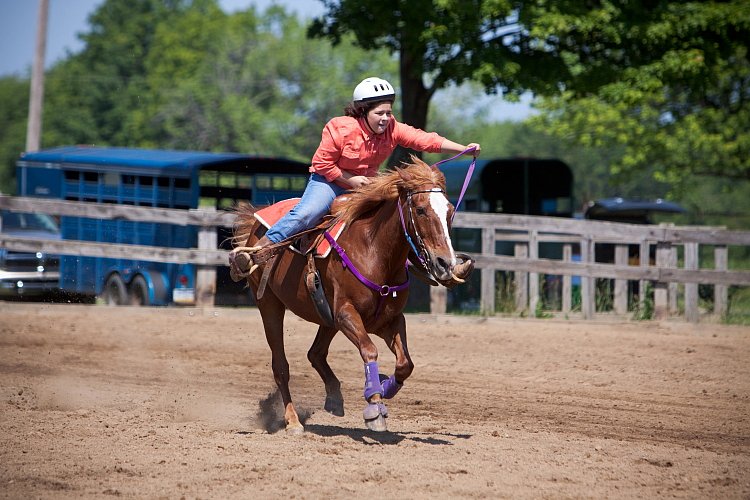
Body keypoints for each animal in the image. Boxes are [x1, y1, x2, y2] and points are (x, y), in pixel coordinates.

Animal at [232, 157, 464, 434]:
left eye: (449, 211)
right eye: (420, 210)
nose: (445, 263)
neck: (374, 251)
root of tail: (255, 224)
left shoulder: (390, 320)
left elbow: (405, 364)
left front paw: (383, 385)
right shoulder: (346, 314)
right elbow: (369, 350)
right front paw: (374, 407)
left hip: (326, 316)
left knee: (315, 353)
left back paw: (334, 398)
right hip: (269, 304)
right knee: (281, 366)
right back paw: (293, 421)